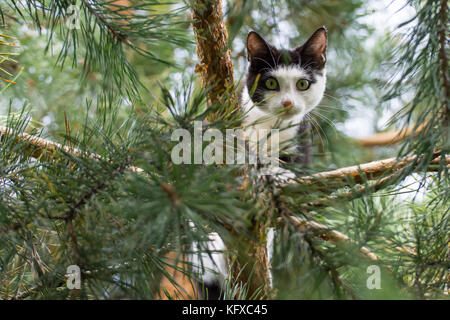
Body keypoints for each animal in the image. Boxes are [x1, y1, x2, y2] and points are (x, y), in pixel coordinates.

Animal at [192, 27, 326, 300]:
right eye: (271, 83)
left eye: (303, 84)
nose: (287, 103)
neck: (270, 126)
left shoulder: (301, 139)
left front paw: (280, 174)